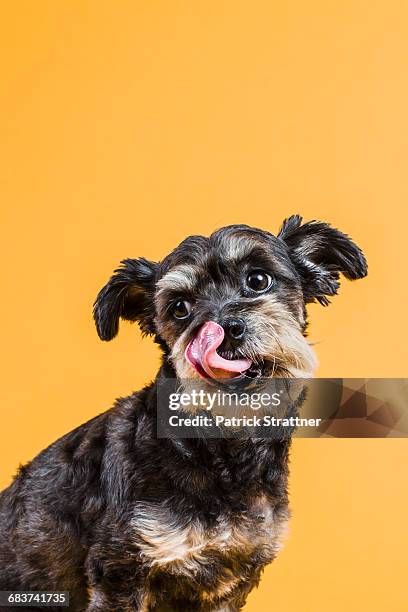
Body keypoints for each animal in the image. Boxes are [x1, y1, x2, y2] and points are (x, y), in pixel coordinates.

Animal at [0, 218, 366, 608]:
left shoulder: (232, 582)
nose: (226, 331)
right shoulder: (120, 570)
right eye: (179, 308)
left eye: (258, 279)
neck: (223, 453)